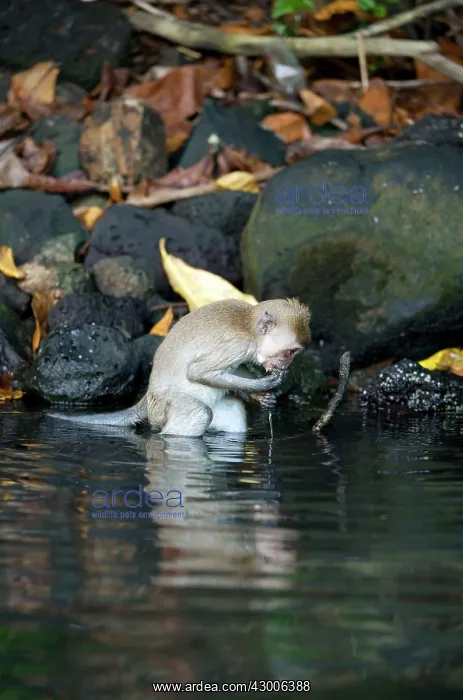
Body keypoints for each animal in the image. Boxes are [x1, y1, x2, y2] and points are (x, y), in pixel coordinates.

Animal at [49, 298, 311, 438]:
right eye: (290, 352)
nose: (286, 364)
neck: (249, 327)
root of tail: (148, 397)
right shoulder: (235, 344)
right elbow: (198, 372)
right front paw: (264, 384)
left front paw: (264, 396)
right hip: (163, 407)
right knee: (199, 413)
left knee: (234, 411)